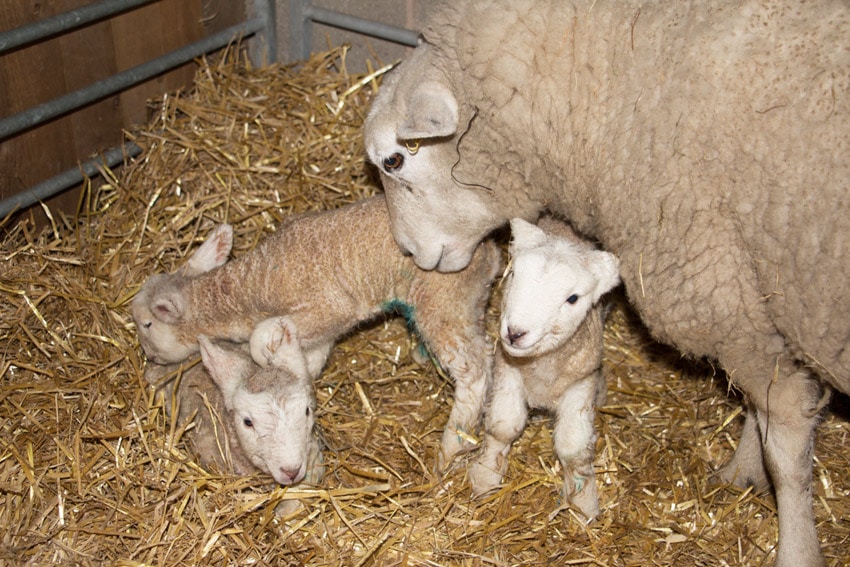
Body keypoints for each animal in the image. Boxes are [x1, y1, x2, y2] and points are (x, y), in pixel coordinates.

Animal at [132, 195, 501, 467]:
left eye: (146, 324)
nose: (149, 357)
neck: (253, 285)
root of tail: (489, 249)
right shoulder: (325, 329)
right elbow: (308, 361)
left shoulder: (330, 307)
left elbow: (262, 336)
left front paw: (265, 357)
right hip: (465, 300)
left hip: (443, 300)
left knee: (474, 368)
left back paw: (452, 445)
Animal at [469, 217, 619, 522]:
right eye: (513, 274)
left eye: (573, 298)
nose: (515, 333)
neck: (541, 370)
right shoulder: (508, 371)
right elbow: (503, 427)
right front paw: (485, 475)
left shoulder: (580, 383)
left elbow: (574, 448)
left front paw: (583, 502)